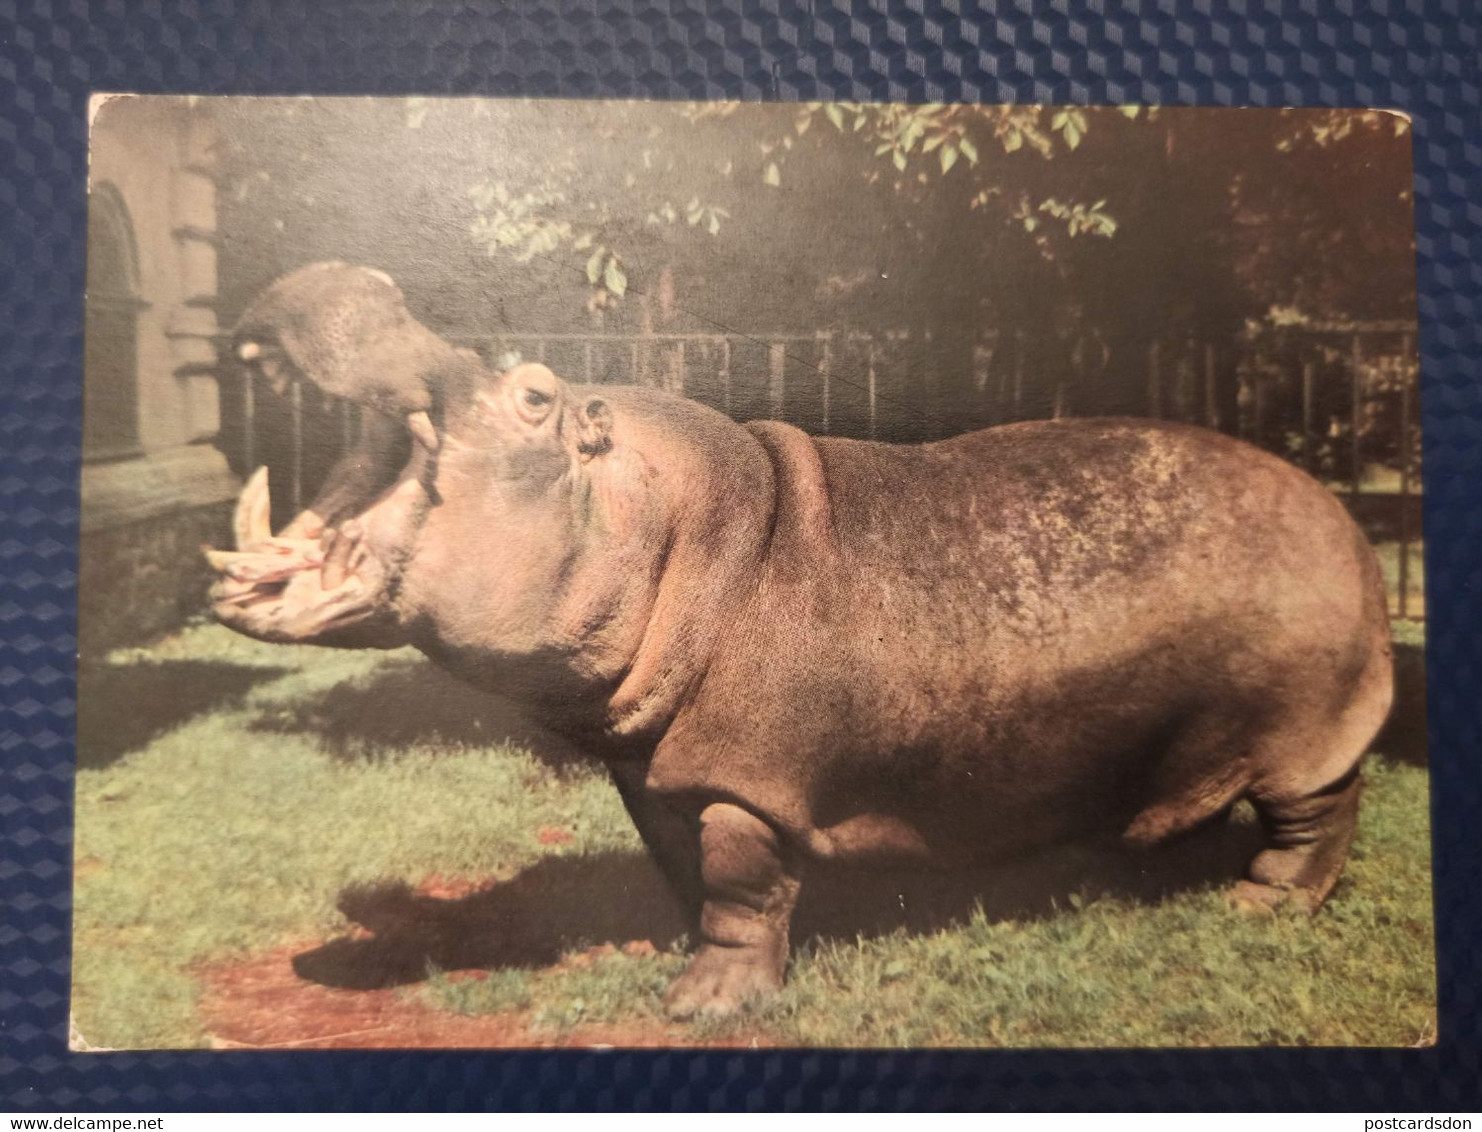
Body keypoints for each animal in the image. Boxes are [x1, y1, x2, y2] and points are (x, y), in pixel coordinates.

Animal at [205, 268, 1387, 1019]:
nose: (363, 274)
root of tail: (1345, 520)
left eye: (533, 392)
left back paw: (1258, 907)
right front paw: (666, 944)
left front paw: (702, 1004)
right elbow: (679, 863)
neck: (679, 523)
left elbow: (738, 883)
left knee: (1316, 816)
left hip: (1309, 730)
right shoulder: (656, 765)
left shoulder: (749, 778)